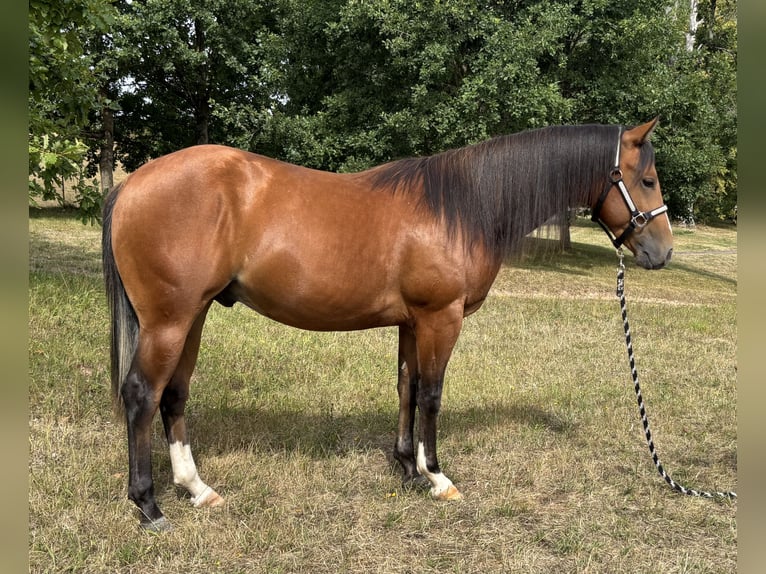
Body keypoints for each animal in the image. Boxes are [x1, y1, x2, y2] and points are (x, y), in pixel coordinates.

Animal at [102, 119, 673, 530]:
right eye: (646, 179)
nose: (662, 252)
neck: (463, 207)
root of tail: (132, 184)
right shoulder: (441, 317)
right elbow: (432, 395)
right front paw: (437, 477)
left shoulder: (412, 322)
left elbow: (407, 388)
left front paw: (406, 468)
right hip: (169, 321)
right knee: (142, 395)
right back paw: (149, 506)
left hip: (192, 316)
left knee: (174, 396)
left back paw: (197, 489)